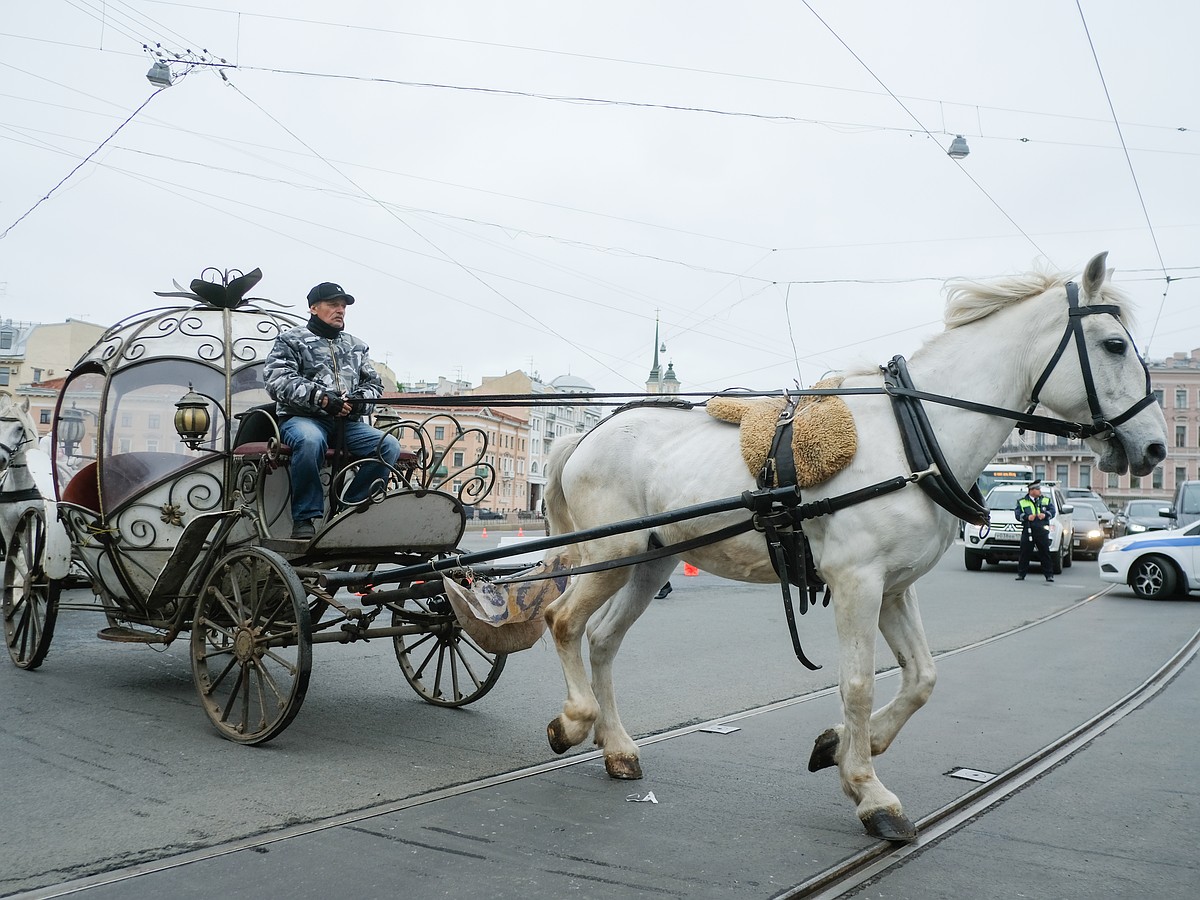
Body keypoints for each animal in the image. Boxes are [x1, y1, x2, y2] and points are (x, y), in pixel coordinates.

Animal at [542, 255, 1161, 844]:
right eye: (1115, 344)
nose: (1154, 446)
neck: (913, 435)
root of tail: (589, 432)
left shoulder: (894, 588)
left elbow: (921, 678)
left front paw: (837, 746)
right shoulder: (856, 581)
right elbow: (859, 685)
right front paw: (870, 794)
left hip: (651, 562)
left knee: (603, 638)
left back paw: (618, 748)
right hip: (612, 554)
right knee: (564, 621)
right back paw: (573, 721)